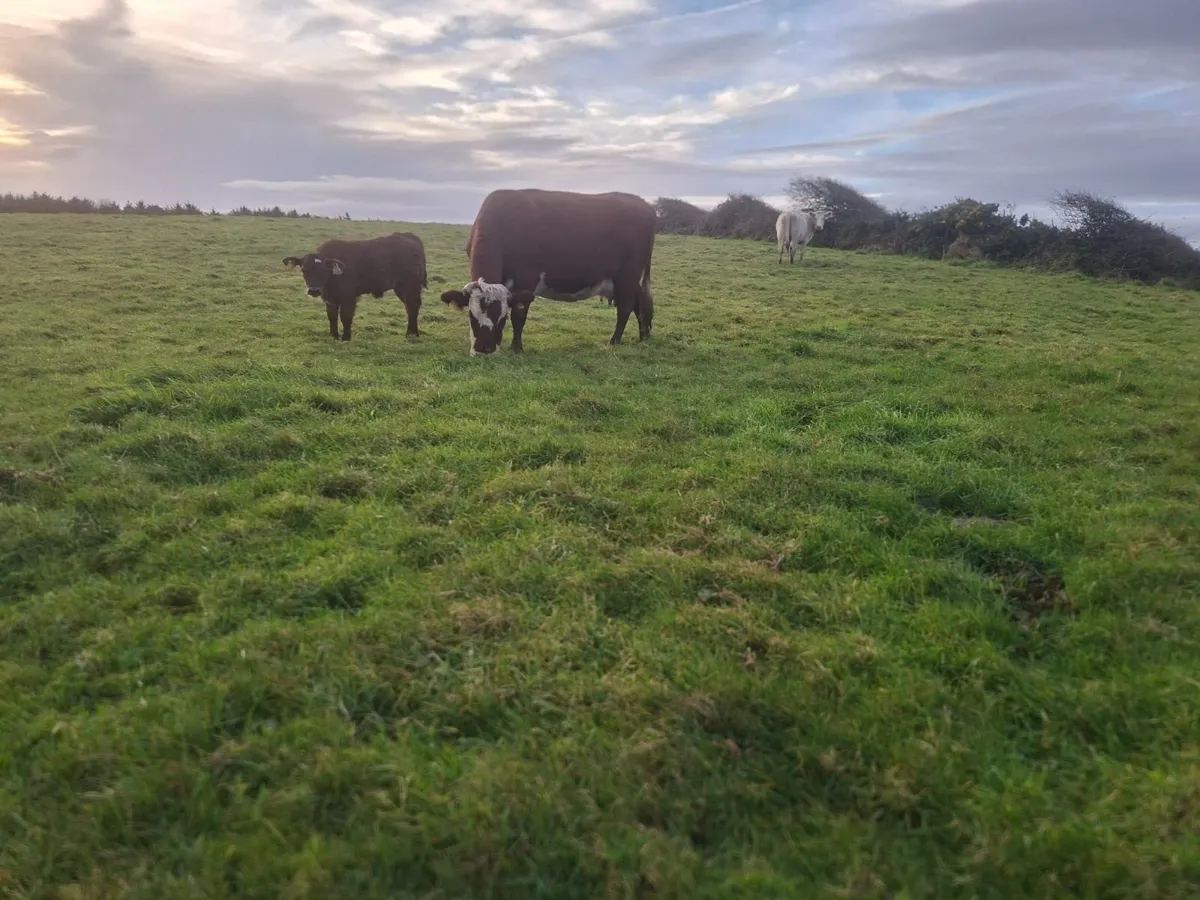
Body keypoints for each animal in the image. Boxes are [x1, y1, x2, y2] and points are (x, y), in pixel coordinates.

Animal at [282, 232, 427, 342]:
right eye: (304, 270)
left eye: (324, 270)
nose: (314, 290)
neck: (332, 277)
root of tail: (409, 236)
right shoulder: (329, 299)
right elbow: (332, 317)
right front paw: (333, 336)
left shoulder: (348, 297)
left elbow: (345, 316)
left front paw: (346, 337)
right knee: (410, 307)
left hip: (409, 286)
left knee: (412, 306)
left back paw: (411, 334)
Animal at [440, 188, 655, 356]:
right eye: (471, 317)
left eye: (501, 319)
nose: (485, 350)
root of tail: (644, 204)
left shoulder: (526, 280)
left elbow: (519, 316)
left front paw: (517, 348)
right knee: (640, 304)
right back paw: (644, 337)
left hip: (628, 275)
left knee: (626, 307)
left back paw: (614, 341)